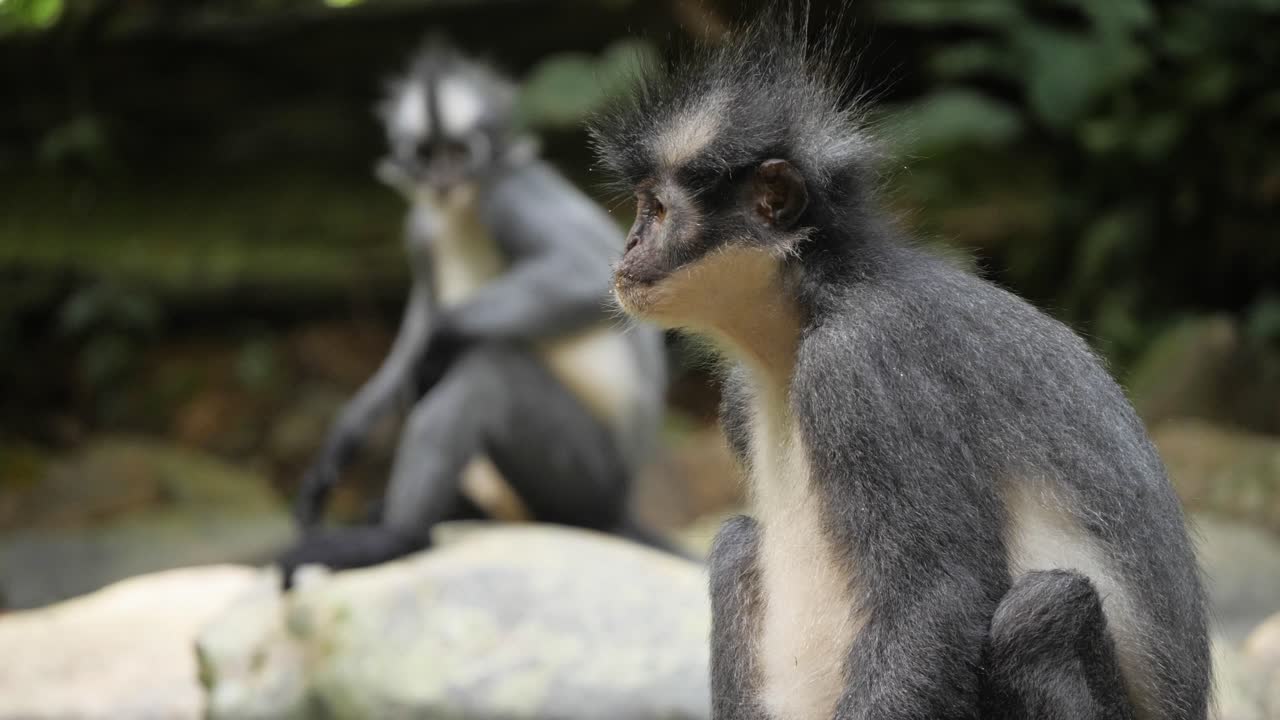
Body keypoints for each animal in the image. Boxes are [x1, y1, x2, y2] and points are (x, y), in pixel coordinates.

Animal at [277, 41, 670, 585]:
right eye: (427, 155)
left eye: (459, 154)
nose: (443, 178)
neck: (459, 209)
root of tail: (621, 502)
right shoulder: (418, 233)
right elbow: (413, 337)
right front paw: (340, 445)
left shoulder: (510, 196)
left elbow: (583, 273)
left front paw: (439, 342)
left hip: (587, 479)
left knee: (486, 371)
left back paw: (398, 536)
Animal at [589, 8, 1210, 720]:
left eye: (657, 211)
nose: (628, 246)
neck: (813, 316)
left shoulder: (863, 367)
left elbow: (934, 603)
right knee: (737, 546)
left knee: (1040, 612)